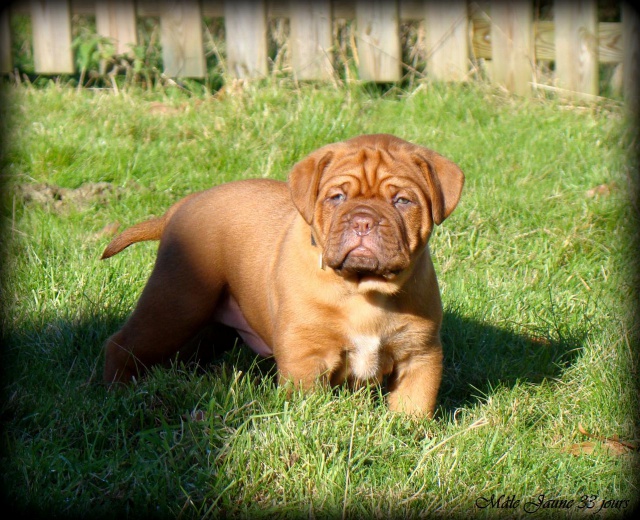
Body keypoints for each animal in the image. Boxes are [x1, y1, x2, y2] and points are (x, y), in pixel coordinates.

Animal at [104, 134, 464, 418]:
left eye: (402, 200)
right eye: (337, 197)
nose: (363, 221)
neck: (364, 291)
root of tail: (180, 206)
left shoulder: (419, 355)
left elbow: (414, 405)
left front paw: (408, 433)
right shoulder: (306, 356)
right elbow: (310, 404)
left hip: (206, 321)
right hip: (176, 303)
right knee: (123, 344)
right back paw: (117, 393)